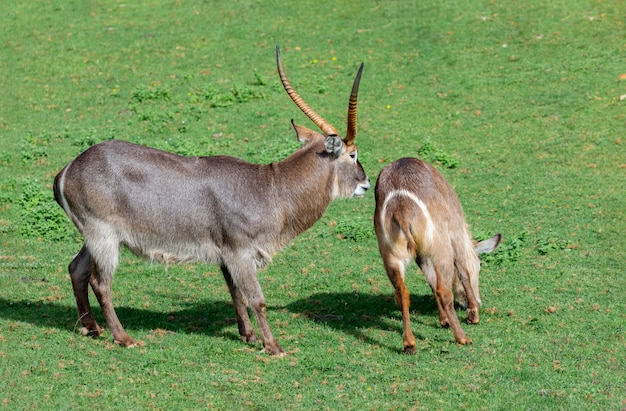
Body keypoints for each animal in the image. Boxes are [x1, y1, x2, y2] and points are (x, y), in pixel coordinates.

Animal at [52, 46, 370, 356]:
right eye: (353, 154)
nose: (366, 183)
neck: (272, 187)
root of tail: (68, 169)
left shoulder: (227, 257)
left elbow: (236, 294)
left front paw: (248, 335)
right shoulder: (240, 253)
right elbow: (257, 298)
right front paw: (273, 346)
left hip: (95, 237)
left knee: (76, 269)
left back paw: (91, 328)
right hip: (104, 236)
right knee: (100, 282)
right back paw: (124, 338)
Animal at [372, 158, 500, 354]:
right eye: (480, 266)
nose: (480, 302)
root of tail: (401, 207)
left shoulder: (421, 255)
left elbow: (431, 281)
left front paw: (444, 320)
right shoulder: (455, 232)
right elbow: (463, 271)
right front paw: (473, 314)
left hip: (391, 255)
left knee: (402, 293)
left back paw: (409, 344)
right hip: (442, 248)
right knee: (443, 291)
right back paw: (462, 337)